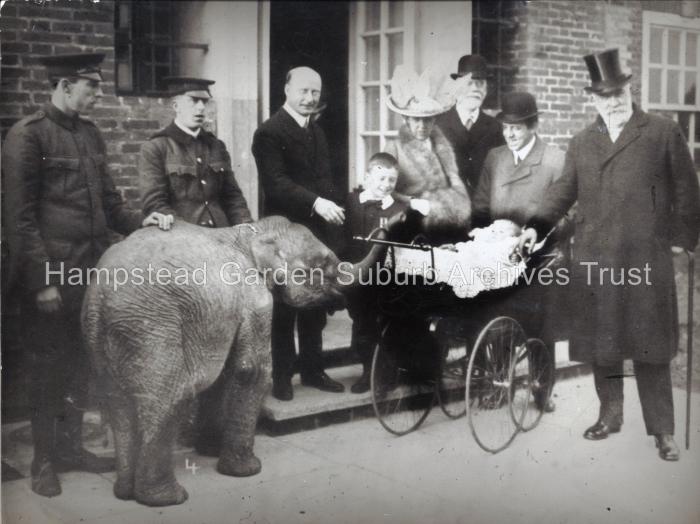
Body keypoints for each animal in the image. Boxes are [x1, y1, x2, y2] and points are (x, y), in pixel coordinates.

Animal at [83, 215, 382, 506]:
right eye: (322, 264)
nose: (381, 228)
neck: (254, 231)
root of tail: (100, 295)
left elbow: (222, 375)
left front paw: (211, 451)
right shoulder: (255, 298)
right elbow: (250, 370)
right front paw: (248, 470)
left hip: (104, 333)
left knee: (116, 400)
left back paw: (124, 492)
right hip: (152, 327)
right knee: (169, 397)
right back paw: (165, 498)